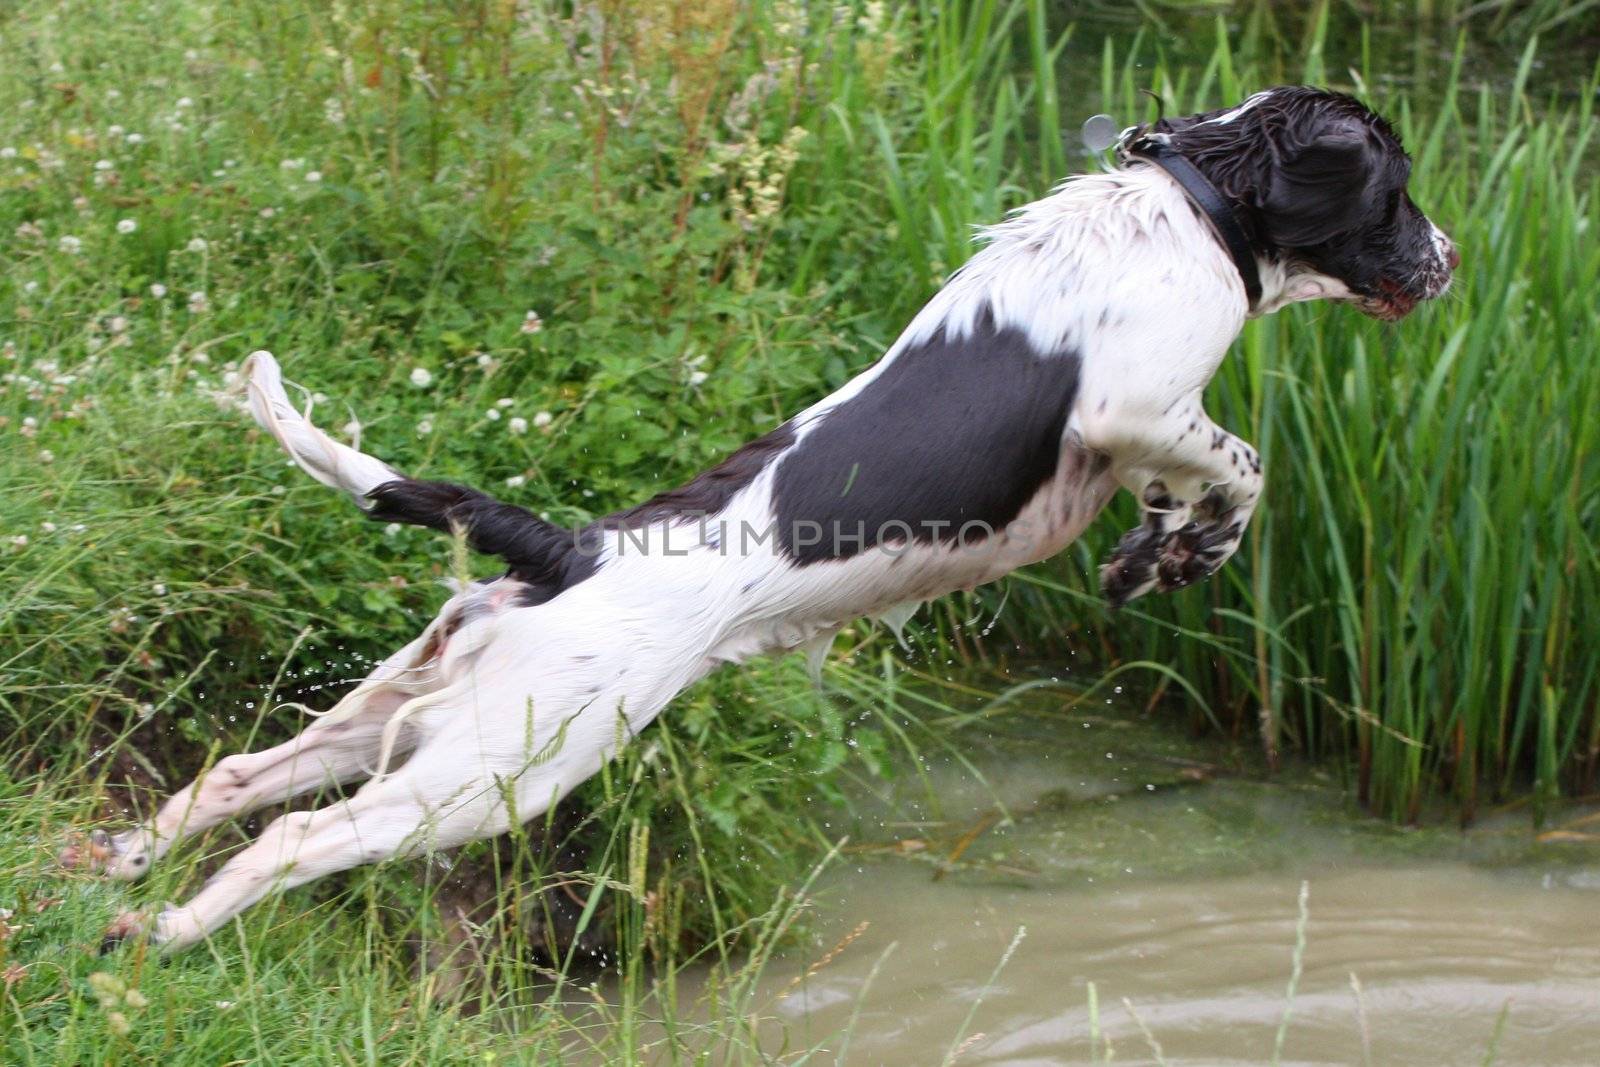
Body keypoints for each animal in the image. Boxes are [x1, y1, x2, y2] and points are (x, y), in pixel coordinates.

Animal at [72, 85, 1452, 953]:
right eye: (1392, 190)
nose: (1447, 258)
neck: (1189, 203)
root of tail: (571, 548)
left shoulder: (1140, 437)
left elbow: (1190, 487)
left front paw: (1156, 553)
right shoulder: (1139, 401)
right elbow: (1244, 462)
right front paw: (1187, 545)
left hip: (415, 704)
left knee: (240, 775)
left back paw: (112, 864)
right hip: (496, 770)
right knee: (295, 836)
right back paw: (160, 929)